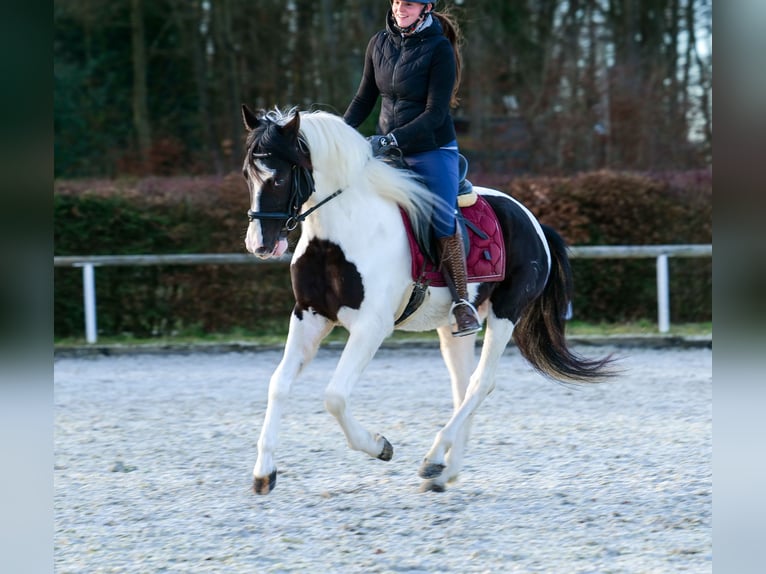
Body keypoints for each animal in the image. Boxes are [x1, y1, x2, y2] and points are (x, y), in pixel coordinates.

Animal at [238, 107, 612, 496]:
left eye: (278, 178)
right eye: (248, 175)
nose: (259, 244)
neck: (338, 237)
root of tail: (534, 222)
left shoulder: (371, 327)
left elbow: (335, 396)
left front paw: (380, 446)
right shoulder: (309, 316)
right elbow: (279, 384)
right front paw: (264, 473)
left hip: (506, 314)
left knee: (481, 383)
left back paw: (433, 459)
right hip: (455, 327)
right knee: (463, 387)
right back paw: (445, 471)